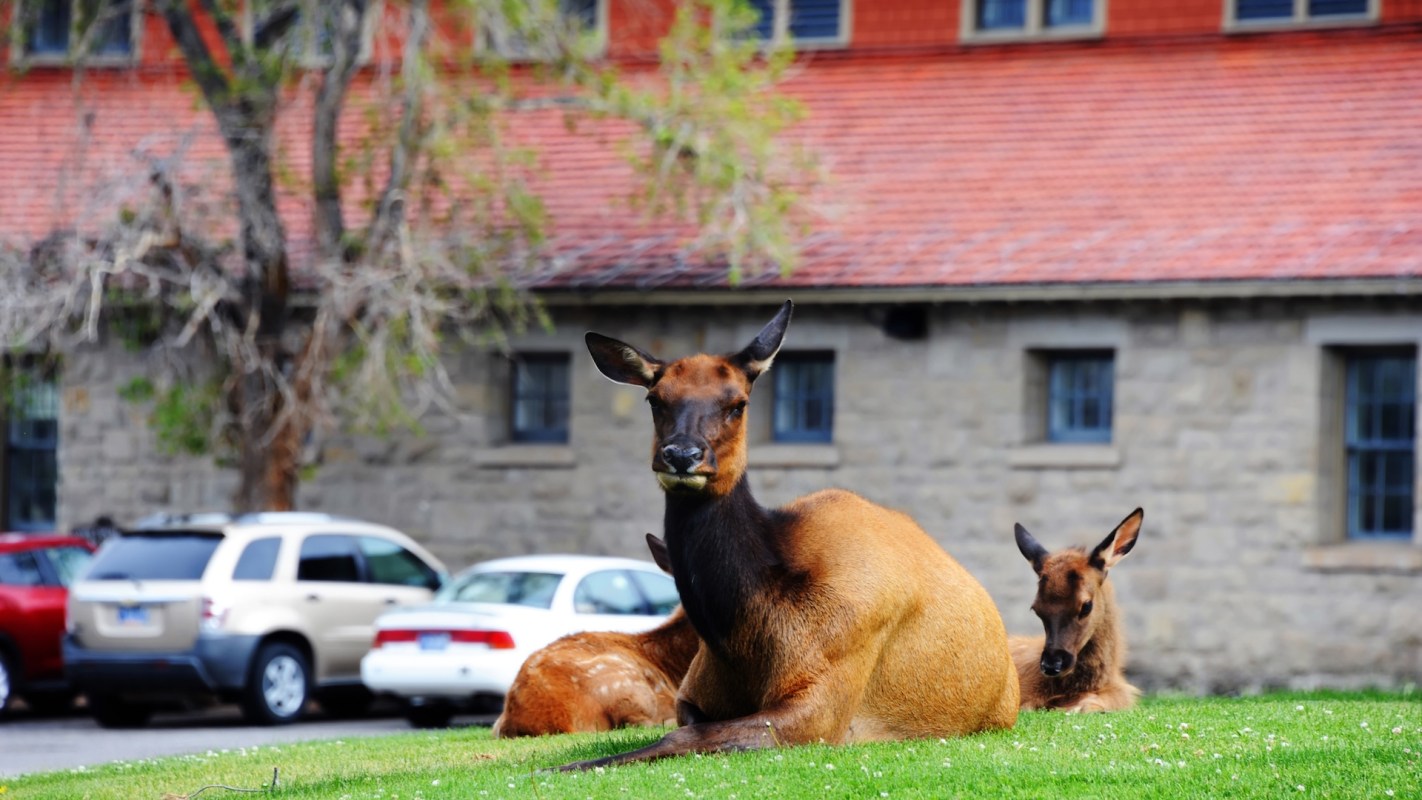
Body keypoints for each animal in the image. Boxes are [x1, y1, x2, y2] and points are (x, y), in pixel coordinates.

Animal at [563, 299, 1019, 770]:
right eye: (655, 399)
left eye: (738, 403)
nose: (681, 454)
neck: (741, 641)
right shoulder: (691, 687)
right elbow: (689, 724)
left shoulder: (826, 695)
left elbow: (683, 736)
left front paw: (568, 765)